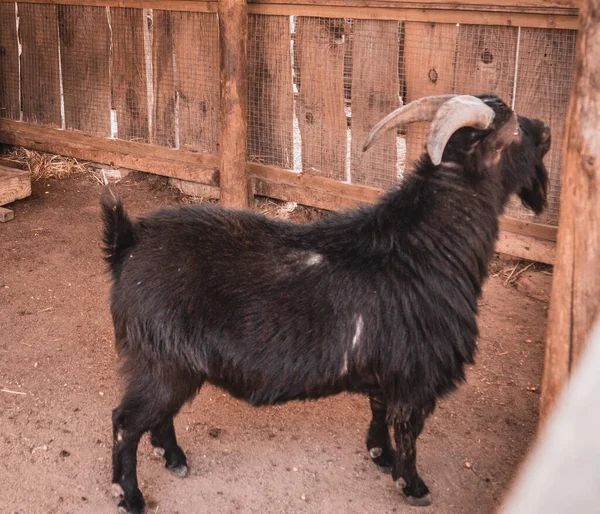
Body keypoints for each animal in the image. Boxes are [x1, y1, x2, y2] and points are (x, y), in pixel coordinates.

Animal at [102, 94, 548, 510]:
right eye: (514, 130)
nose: (544, 130)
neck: (426, 245)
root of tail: (127, 244)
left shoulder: (386, 367)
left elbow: (378, 410)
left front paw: (379, 455)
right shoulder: (416, 375)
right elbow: (408, 431)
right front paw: (413, 485)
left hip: (170, 364)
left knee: (159, 416)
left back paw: (174, 458)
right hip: (162, 362)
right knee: (126, 421)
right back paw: (131, 494)